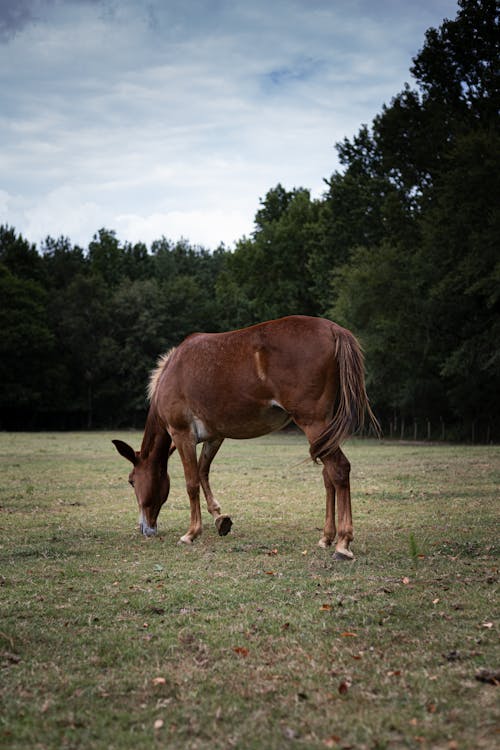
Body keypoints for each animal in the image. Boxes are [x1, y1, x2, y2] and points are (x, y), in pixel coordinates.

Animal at [112, 314, 378, 560]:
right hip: (324, 430)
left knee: (339, 469)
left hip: (314, 423)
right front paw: (220, 518)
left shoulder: (182, 434)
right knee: (328, 476)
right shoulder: (215, 436)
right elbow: (203, 472)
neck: (171, 371)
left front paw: (191, 533)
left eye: (131, 481)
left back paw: (343, 544)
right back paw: (327, 537)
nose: (145, 528)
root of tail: (334, 330)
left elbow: (191, 482)